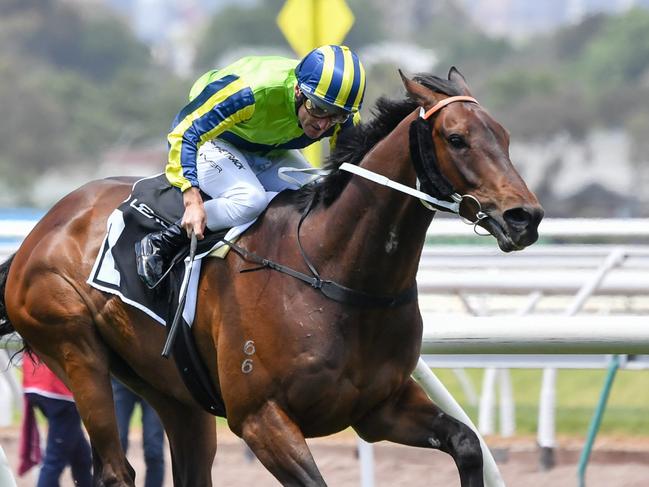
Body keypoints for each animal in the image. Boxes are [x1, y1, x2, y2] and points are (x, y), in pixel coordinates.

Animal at [0, 66, 540, 486]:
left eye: (506, 136)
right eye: (456, 138)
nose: (525, 218)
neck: (334, 273)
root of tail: (44, 226)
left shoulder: (379, 407)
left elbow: (467, 443)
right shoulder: (262, 420)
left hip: (170, 389)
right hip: (76, 349)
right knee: (115, 469)